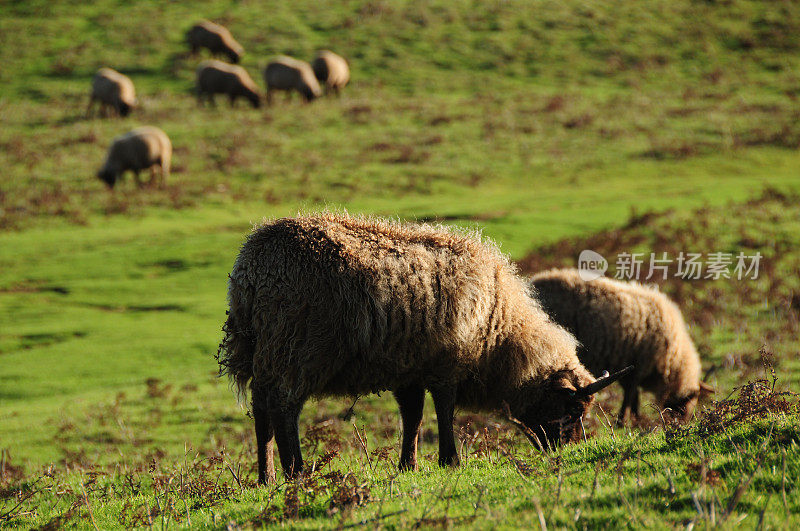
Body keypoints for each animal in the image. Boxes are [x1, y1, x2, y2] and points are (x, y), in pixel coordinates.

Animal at [219, 214, 632, 484]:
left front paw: (409, 465)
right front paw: (451, 460)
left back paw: (266, 477)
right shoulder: (447, 363)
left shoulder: (410, 368)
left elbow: (413, 417)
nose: (567, 452)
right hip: (296, 348)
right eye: (572, 409)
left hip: (261, 351)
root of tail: (251, 271)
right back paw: (296, 472)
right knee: (285, 407)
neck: (499, 332)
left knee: (261, 411)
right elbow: (444, 410)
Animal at [532, 270, 712, 424]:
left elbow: (632, 394)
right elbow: (631, 393)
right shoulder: (639, 364)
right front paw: (624, 421)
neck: (673, 357)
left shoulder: (627, 364)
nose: (681, 424)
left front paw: (635, 418)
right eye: (685, 404)